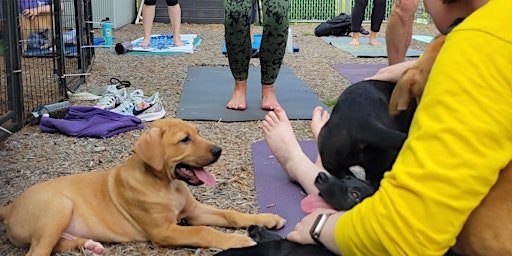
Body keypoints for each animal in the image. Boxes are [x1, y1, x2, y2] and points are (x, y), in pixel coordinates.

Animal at [0, 119, 286, 255]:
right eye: (185, 140)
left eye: (197, 132)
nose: (218, 151)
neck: (167, 186)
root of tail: (11, 206)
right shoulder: (164, 231)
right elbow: (204, 231)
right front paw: (238, 241)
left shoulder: (193, 212)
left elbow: (230, 214)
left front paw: (266, 218)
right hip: (59, 206)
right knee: (39, 251)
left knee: (56, 245)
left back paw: (92, 246)